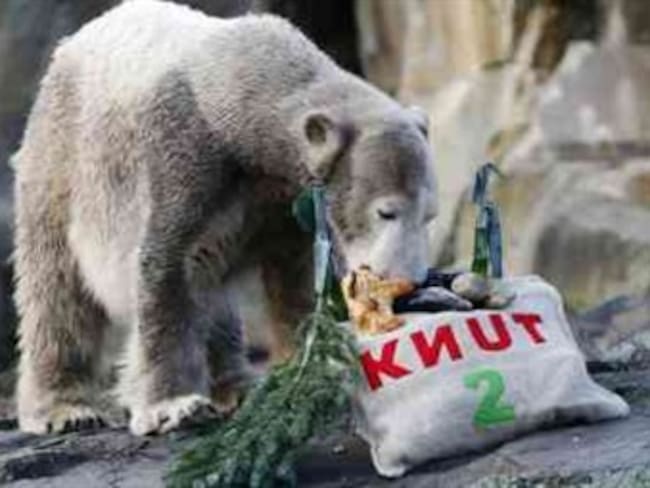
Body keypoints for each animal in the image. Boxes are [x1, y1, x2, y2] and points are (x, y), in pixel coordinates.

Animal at [12, 0, 438, 436]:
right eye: (386, 212)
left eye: (429, 216)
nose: (408, 285)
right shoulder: (183, 155)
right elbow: (165, 268)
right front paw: (173, 406)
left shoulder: (279, 197)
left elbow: (292, 276)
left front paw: (315, 367)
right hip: (63, 162)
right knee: (57, 288)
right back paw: (65, 408)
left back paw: (237, 386)